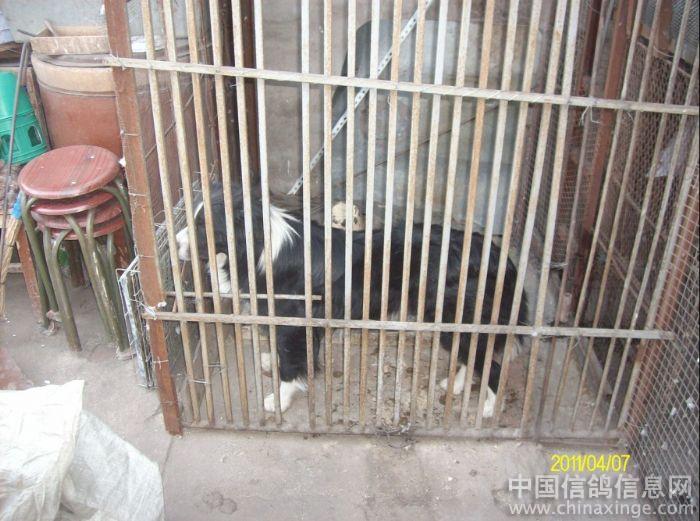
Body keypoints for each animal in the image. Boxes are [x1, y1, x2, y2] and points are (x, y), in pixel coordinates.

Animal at [176, 181, 528, 417]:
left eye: (202, 226)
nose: (175, 244)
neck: (260, 247)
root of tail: (497, 254)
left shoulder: (294, 323)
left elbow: (290, 365)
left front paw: (279, 399)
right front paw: (270, 362)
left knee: (491, 364)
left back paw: (487, 408)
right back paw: (455, 385)